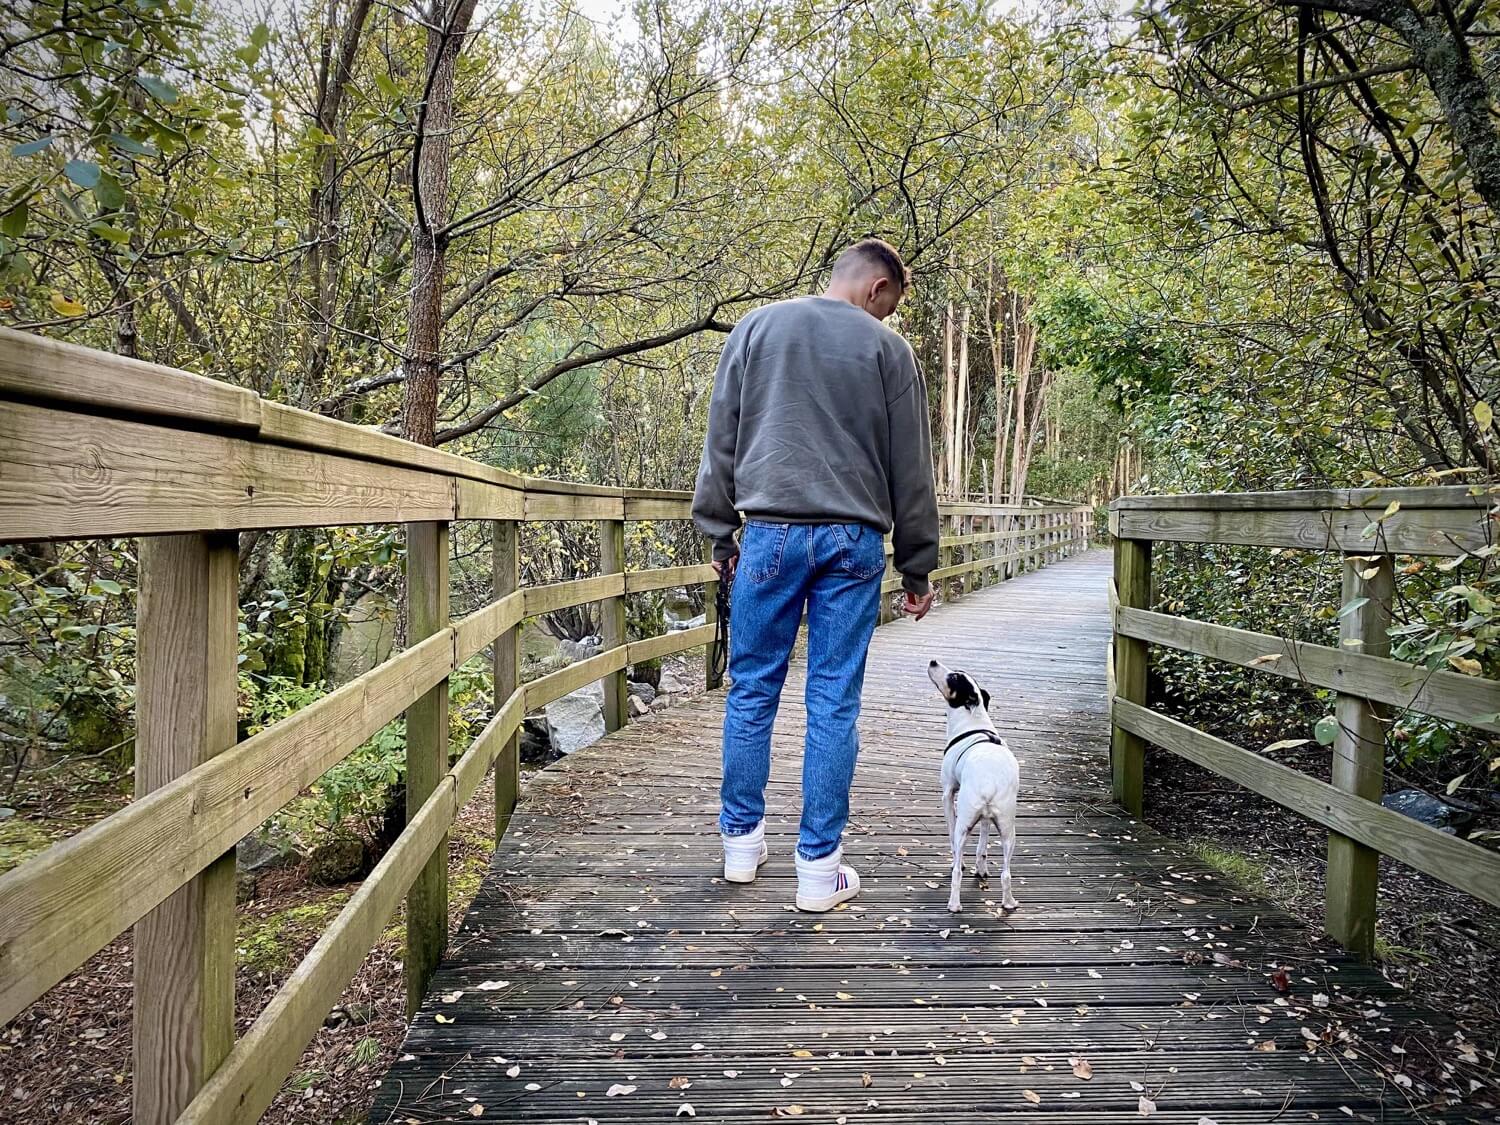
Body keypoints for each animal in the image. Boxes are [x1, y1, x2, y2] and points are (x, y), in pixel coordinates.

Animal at [924, 660, 1020, 918]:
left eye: (954, 677)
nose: (933, 661)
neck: (973, 721)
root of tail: (990, 783)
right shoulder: (986, 820)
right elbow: (982, 847)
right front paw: (981, 868)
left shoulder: (948, 794)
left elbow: (951, 839)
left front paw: (959, 861)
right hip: (1008, 830)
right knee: (1006, 873)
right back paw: (1008, 903)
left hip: (965, 822)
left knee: (957, 872)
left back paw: (954, 904)